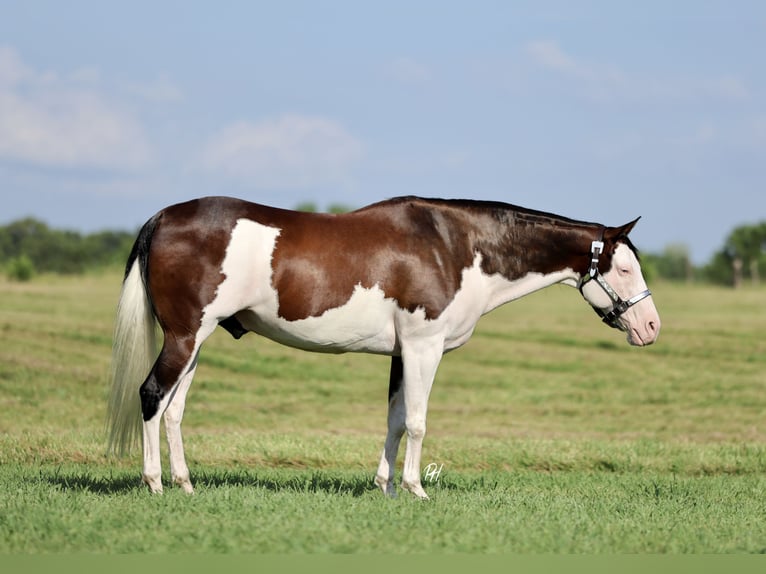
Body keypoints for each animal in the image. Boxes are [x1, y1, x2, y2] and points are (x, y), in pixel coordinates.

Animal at [106, 195, 660, 499]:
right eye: (624, 268)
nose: (652, 326)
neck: (456, 247)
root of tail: (163, 216)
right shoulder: (422, 347)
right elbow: (416, 422)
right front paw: (416, 489)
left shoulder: (400, 353)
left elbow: (394, 420)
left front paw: (386, 487)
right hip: (184, 337)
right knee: (152, 395)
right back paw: (154, 483)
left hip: (196, 341)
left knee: (174, 410)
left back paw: (185, 483)